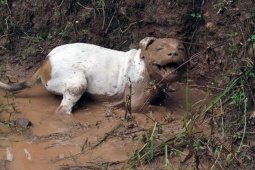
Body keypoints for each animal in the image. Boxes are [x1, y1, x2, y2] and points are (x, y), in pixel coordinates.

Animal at [0, 37, 187, 114]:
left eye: (181, 48)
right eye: (160, 48)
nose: (174, 53)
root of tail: (46, 62)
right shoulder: (136, 105)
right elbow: (161, 109)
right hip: (78, 82)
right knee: (63, 109)